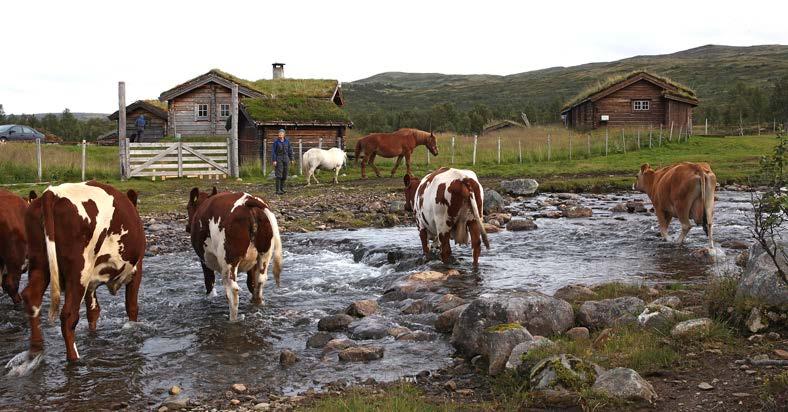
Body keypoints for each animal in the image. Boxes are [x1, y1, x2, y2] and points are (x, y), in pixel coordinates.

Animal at [22, 182, 146, 362]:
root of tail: (53, 192)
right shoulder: (136, 269)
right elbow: (132, 306)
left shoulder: (91, 282)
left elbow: (93, 311)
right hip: (78, 272)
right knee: (68, 315)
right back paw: (74, 357)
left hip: (39, 262)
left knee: (32, 297)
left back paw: (36, 348)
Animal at [185, 187, 284, 322]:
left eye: (187, 207)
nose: (187, 227)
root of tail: (247, 201)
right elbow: (251, 283)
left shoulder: (204, 260)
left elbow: (209, 283)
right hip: (264, 255)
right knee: (259, 282)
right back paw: (257, 303)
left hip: (229, 262)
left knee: (232, 290)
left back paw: (233, 319)